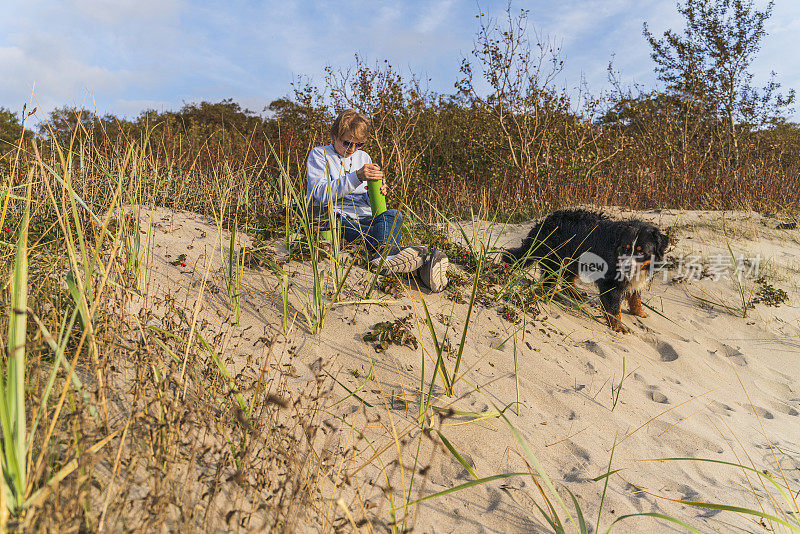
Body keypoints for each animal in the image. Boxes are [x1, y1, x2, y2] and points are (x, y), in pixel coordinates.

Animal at [506, 210, 668, 332]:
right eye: (625, 248)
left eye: (641, 252)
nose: (626, 267)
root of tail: (544, 222)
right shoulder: (610, 283)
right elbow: (614, 308)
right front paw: (618, 327)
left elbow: (636, 298)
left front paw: (639, 313)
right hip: (555, 260)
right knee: (548, 282)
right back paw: (552, 296)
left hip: (573, 260)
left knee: (567, 279)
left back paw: (574, 294)